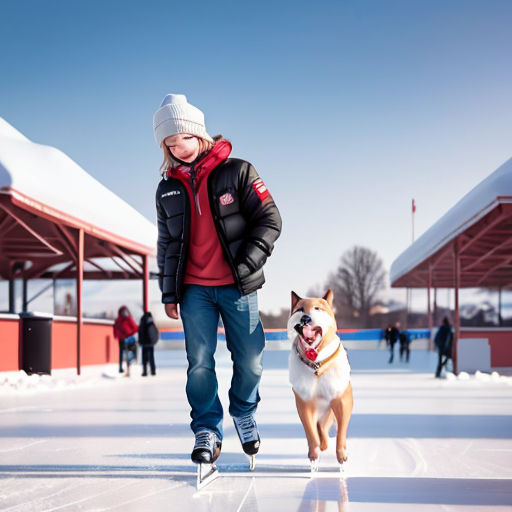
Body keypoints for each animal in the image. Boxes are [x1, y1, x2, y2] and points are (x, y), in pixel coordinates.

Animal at [286, 290, 354, 470]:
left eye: (317, 308)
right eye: (299, 309)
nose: (305, 318)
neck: (316, 363)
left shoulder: (341, 400)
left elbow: (341, 432)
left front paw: (342, 456)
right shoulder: (304, 402)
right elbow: (311, 433)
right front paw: (314, 456)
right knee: (319, 430)